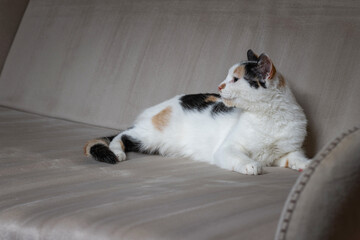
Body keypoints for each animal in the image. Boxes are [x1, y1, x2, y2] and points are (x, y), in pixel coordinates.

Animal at [83, 49, 310, 175]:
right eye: (227, 77)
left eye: (235, 79)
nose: (219, 86)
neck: (268, 116)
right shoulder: (227, 148)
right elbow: (240, 157)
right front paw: (251, 165)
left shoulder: (288, 151)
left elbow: (296, 157)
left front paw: (308, 165)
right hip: (147, 135)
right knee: (121, 134)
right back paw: (117, 151)